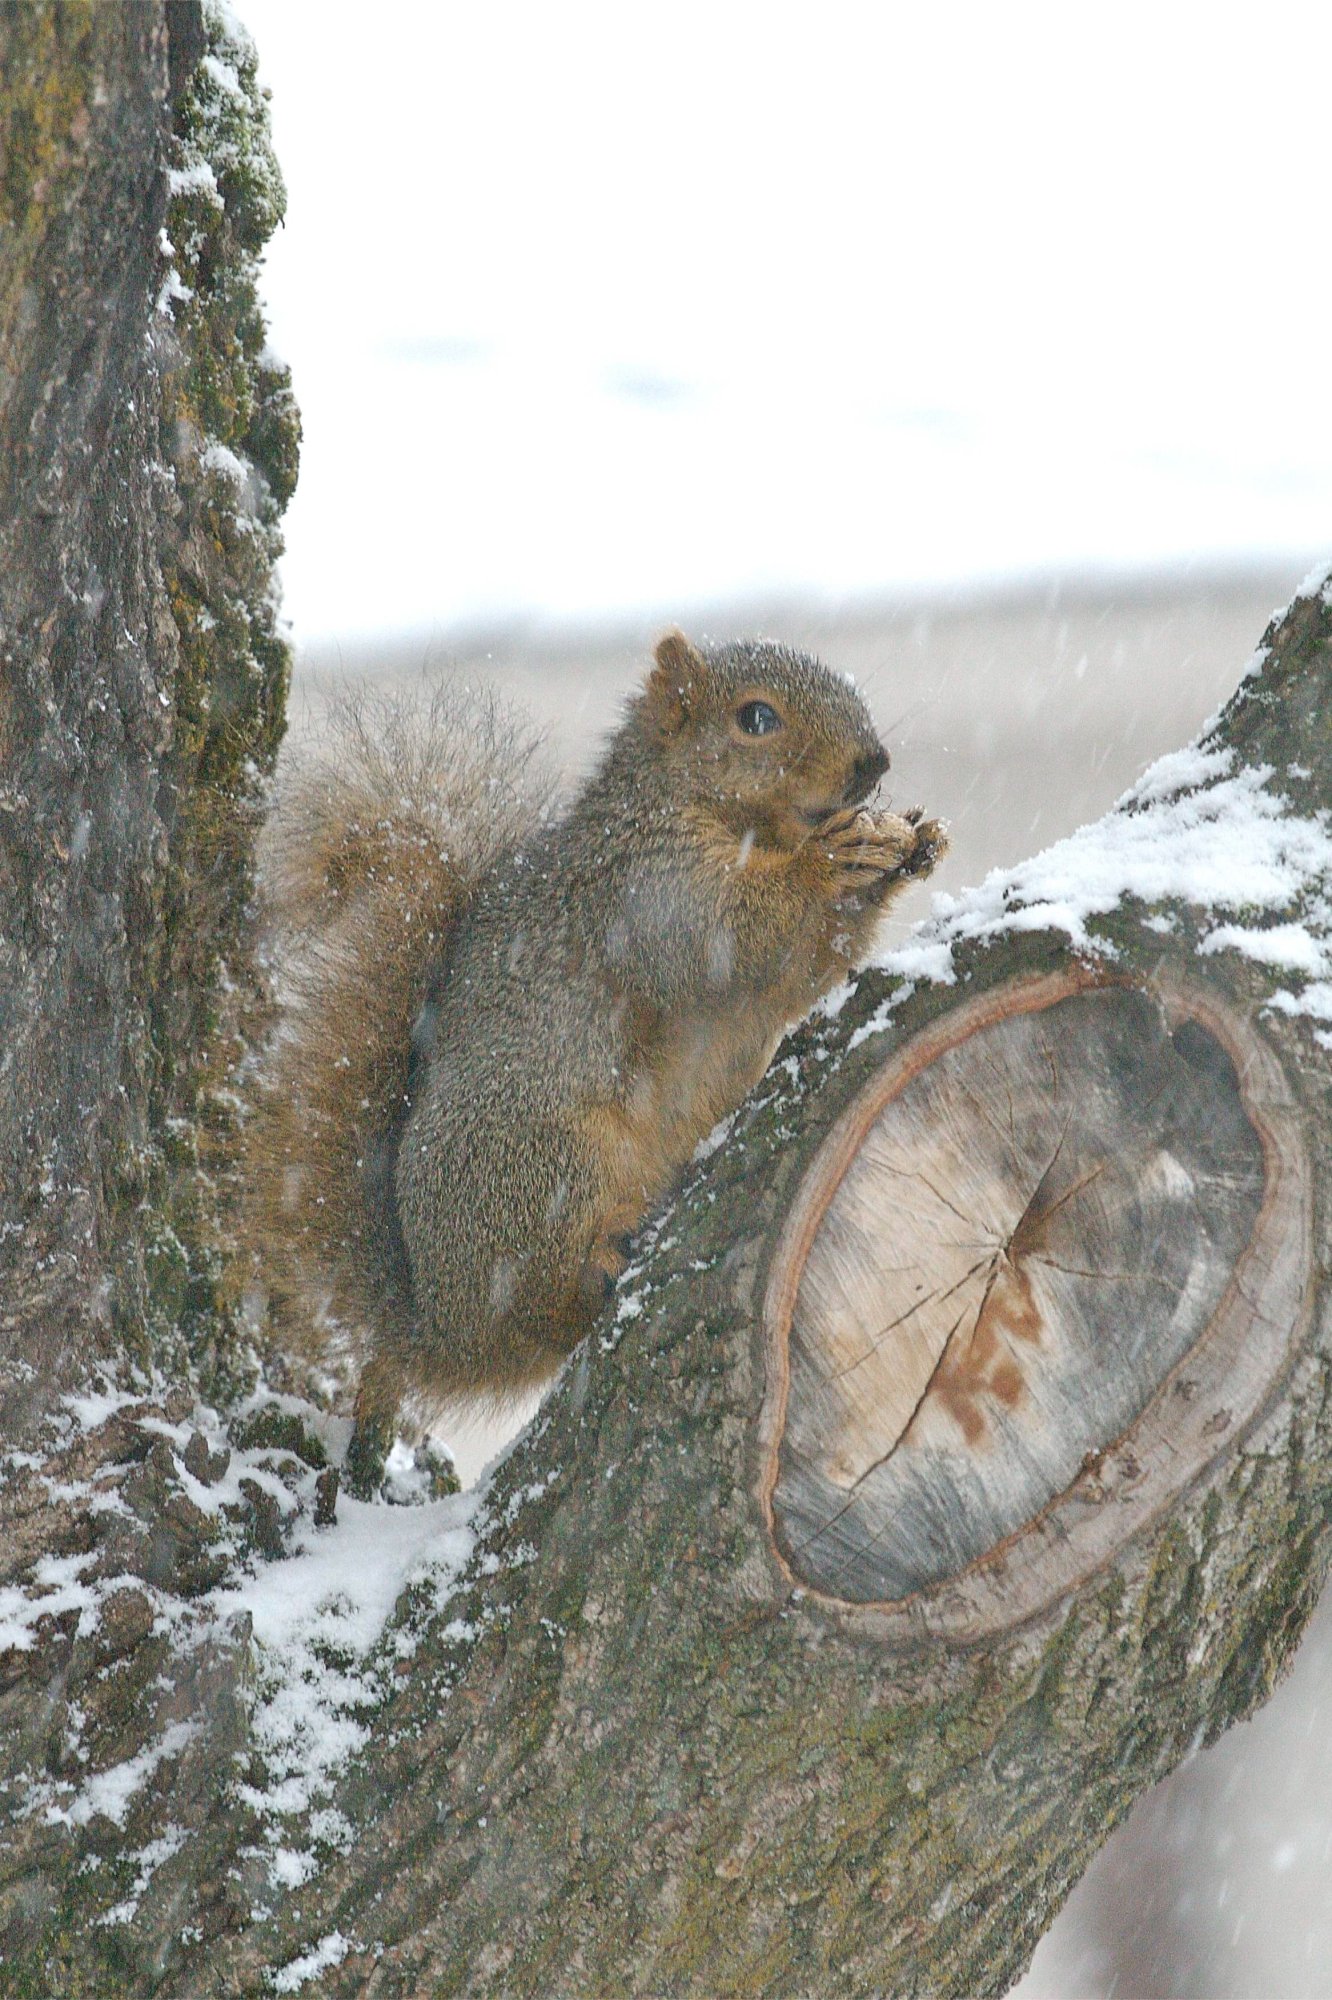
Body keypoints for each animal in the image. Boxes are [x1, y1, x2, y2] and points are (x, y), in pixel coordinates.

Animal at [243, 631, 947, 1494]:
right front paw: (837, 863)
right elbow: (745, 936)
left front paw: (916, 841)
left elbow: (802, 972)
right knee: (544, 1297)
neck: (698, 807)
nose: (873, 763)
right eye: (756, 718)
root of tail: (437, 1324)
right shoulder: (651, 894)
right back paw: (603, 1252)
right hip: (545, 1162)